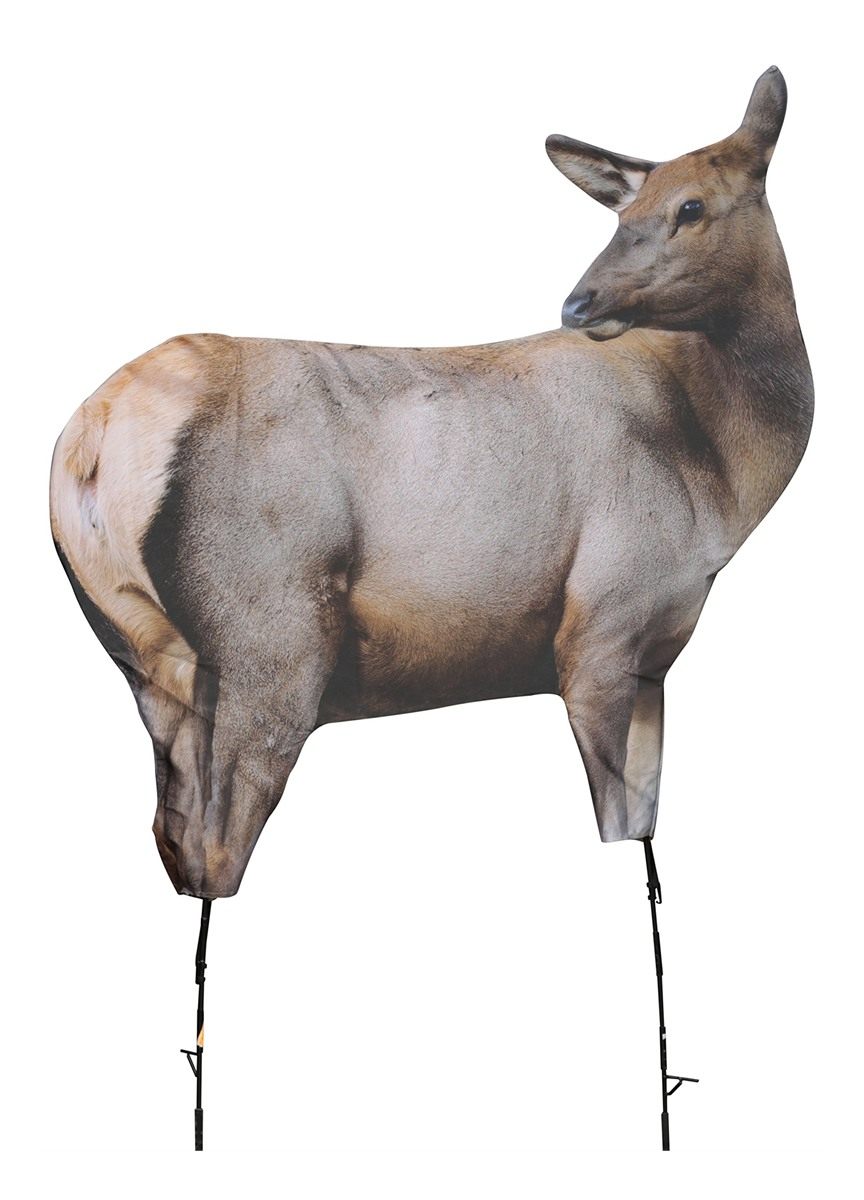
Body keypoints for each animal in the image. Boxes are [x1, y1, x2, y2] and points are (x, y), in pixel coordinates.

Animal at [50, 66, 813, 903]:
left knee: (172, 838)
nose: (579, 302)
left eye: (690, 207)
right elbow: (618, 824)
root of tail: (88, 441)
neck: (721, 479)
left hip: (141, 658)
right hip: (271, 638)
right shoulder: (603, 627)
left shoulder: (654, 655)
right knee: (219, 849)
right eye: (628, 211)